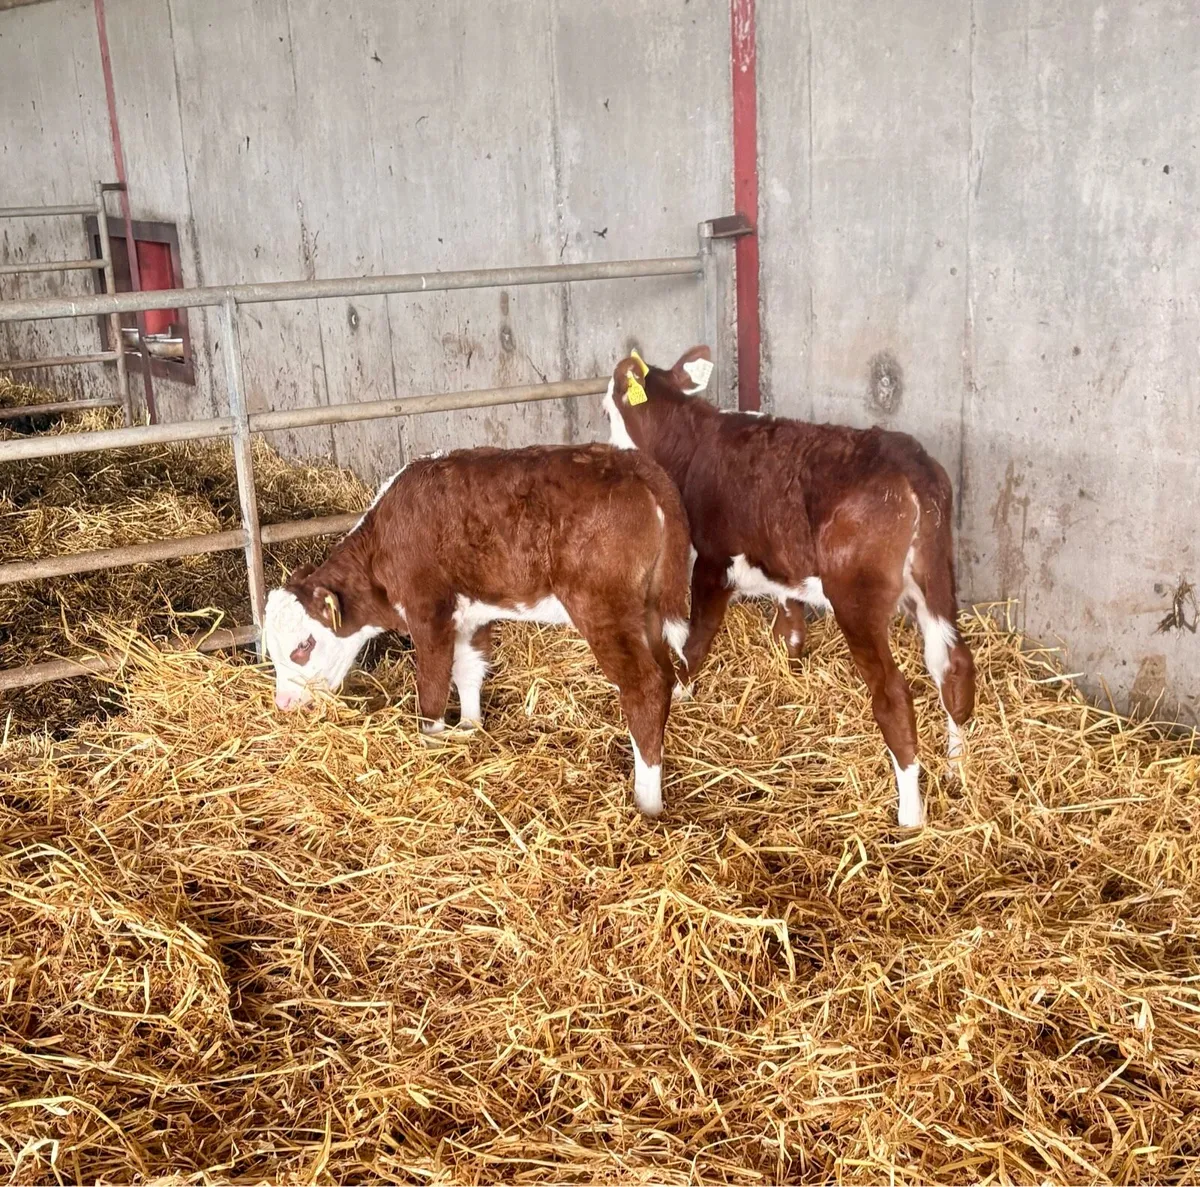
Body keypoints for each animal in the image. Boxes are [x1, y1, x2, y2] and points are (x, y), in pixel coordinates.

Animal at [262, 444, 691, 817]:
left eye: (304, 645)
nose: (283, 702)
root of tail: (631, 461)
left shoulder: (428, 612)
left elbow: (433, 686)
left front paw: (431, 740)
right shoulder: (470, 616)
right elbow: (468, 670)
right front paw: (470, 726)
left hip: (603, 608)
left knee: (644, 688)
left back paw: (646, 803)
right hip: (648, 612)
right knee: (666, 677)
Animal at [601, 346, 975, 828]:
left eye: (607, 409)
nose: (611, 456)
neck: (692, 444)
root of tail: (912, 466)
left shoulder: (714, 559)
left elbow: (697, 636)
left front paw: (681, 689)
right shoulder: (779, 561)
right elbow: (790, 623)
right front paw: (791, 661)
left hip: (856, 596)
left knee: (893, 694)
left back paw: (911, 811)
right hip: (936, 580)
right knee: (953, 664)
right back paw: (956, 765)